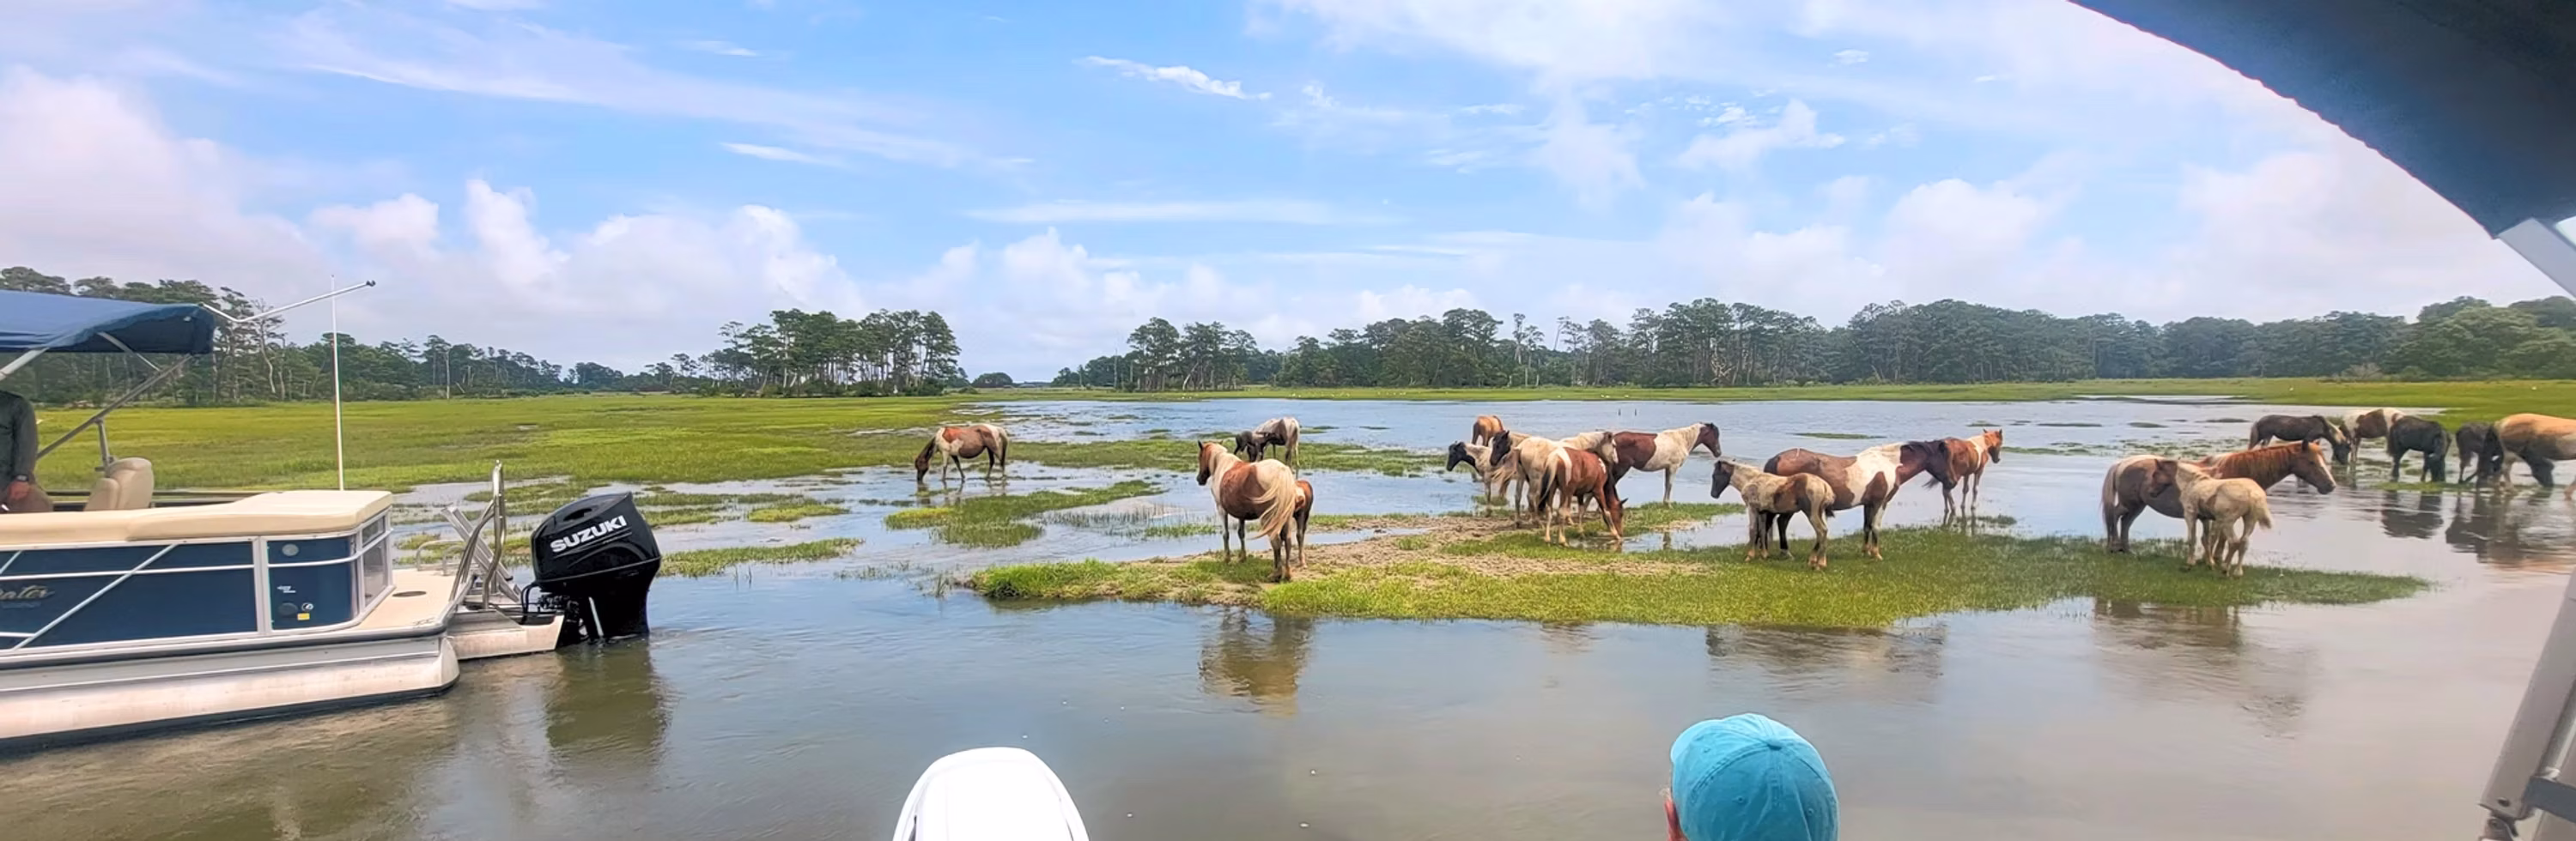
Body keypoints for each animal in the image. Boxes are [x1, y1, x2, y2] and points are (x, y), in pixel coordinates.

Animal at [1195, 441, 1308, 582]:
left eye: (1200, 457)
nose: (1199, 479)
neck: (1221, 464)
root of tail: (1281, 472)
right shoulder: (1241, 513)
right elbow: (1241, 533)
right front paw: (1242, 558)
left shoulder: (1221, 509)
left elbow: (1226, 534)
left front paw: (1227, 559)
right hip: (1285, 518)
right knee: (1287, 541)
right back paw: (1287, 574)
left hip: (1268, 519)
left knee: (1275, 541)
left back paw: (1276, 574)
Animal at [1710, 460, 1833, 570]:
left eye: (1715, 475)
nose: (1713, 494)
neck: (1750, 480)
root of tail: (1824, 485)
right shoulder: (1763, 512)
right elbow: (1762, 530)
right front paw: (1764, 555)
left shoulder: (1752, 508)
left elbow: (1753, 530)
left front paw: (1750, 556)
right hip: (1818, 513)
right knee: (1822, 532)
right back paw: (1813, 561)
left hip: (1811, 513)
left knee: (1821, 531)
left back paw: (1820, 564)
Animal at [1762, 439, 1951, 561]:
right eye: (1946, 459)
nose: (1951, 481)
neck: (1888, 464)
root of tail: (1777, 458)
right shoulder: (1880, 502)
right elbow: (1876, 526)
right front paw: (1876, 554)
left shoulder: (1868, 504)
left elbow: (1867, 526)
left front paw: (1865, 552)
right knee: (1778, 523)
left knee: (1779, 523)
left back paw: (1783, 553)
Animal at [2099, 441, 2334, 553]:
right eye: (2312, 462)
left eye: (2324, 460)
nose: (2330, 485)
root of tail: (2123, 463)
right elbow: (2218, 541)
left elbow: (2218, 541)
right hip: (2131, 503)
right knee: (2115, 516)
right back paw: (2113, 546)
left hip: (2139, 506)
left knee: (2126, 522)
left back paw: (2127, 549)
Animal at [2173, 462, 2272, 577]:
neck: (2194, 482)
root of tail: (2252, 493)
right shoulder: (2205, 518)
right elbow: (2206, 539)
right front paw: (2210, 563)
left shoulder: (2189, 514)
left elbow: (2192, 539)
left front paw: (2190, 562)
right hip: (2250, 520)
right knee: (2244, 542)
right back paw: (2238, 572)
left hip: (2228, 522)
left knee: (2234, 542)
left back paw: (2225, 569)